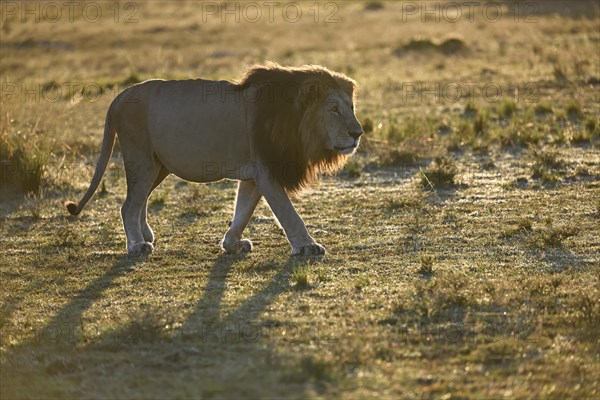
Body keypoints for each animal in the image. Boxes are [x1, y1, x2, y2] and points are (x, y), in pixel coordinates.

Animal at [67, 62, 364, 256]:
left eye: (351, 107)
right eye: (333, 109)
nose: (357, 133)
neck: (296, 120)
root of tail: (120, 96)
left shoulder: (254, 175)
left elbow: (242, 212)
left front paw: (232, 244)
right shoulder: (267, 171)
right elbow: (288, 214)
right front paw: (307, 246)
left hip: (158, 166)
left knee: (140, 200)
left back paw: (145, 234)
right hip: (141, 157)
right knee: (128, 205)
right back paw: (137, 245)